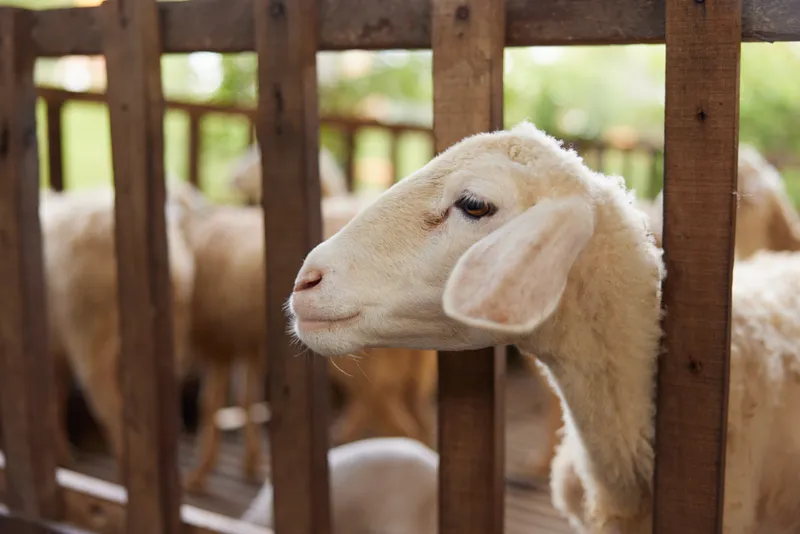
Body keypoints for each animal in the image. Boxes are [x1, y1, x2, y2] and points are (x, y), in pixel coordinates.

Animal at [41, 187, 195, 475]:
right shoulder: (55, 353)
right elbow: (55, 395)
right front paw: (62, 456)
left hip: (93, 343)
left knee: (118, 414)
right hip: (173, 338)